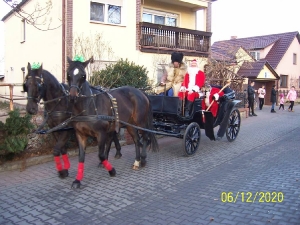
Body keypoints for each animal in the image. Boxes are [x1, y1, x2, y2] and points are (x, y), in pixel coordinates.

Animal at [66, 55, 159, 188]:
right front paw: (77, 180)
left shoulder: (101, 133)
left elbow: (101, 155)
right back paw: (136, 161)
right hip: (130, 125)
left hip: (140, 123)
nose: (73, 96)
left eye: (83, 76)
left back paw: (143, 159)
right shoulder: (80, 134)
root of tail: (141, 92)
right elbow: (81, 156)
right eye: (68, 74)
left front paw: (111, 170)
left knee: (145, 138)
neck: (89, 106)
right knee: (136, 141)